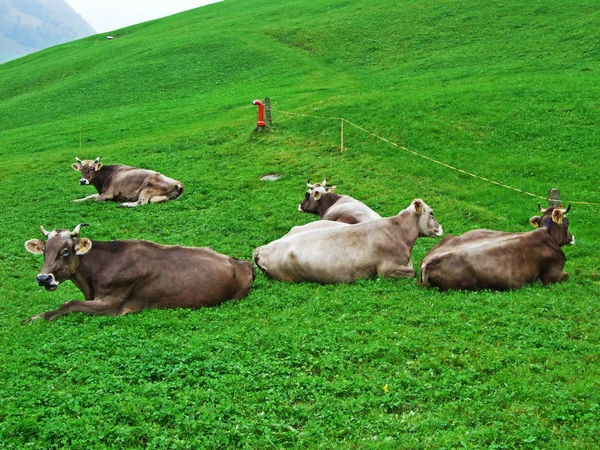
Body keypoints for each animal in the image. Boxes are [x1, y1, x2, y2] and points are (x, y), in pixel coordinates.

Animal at [22, 224, 253, 322]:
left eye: (65, 251)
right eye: (44, 250)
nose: (43, 278)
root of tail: (242, 263)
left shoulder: (114, 303)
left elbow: (69, 304)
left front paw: (36, 317)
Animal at [251, 199, 442, 284]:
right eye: (432, 213)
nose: (441, 227)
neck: (398, 232)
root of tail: (261, 249)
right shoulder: (386, 270)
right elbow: (413, 272)